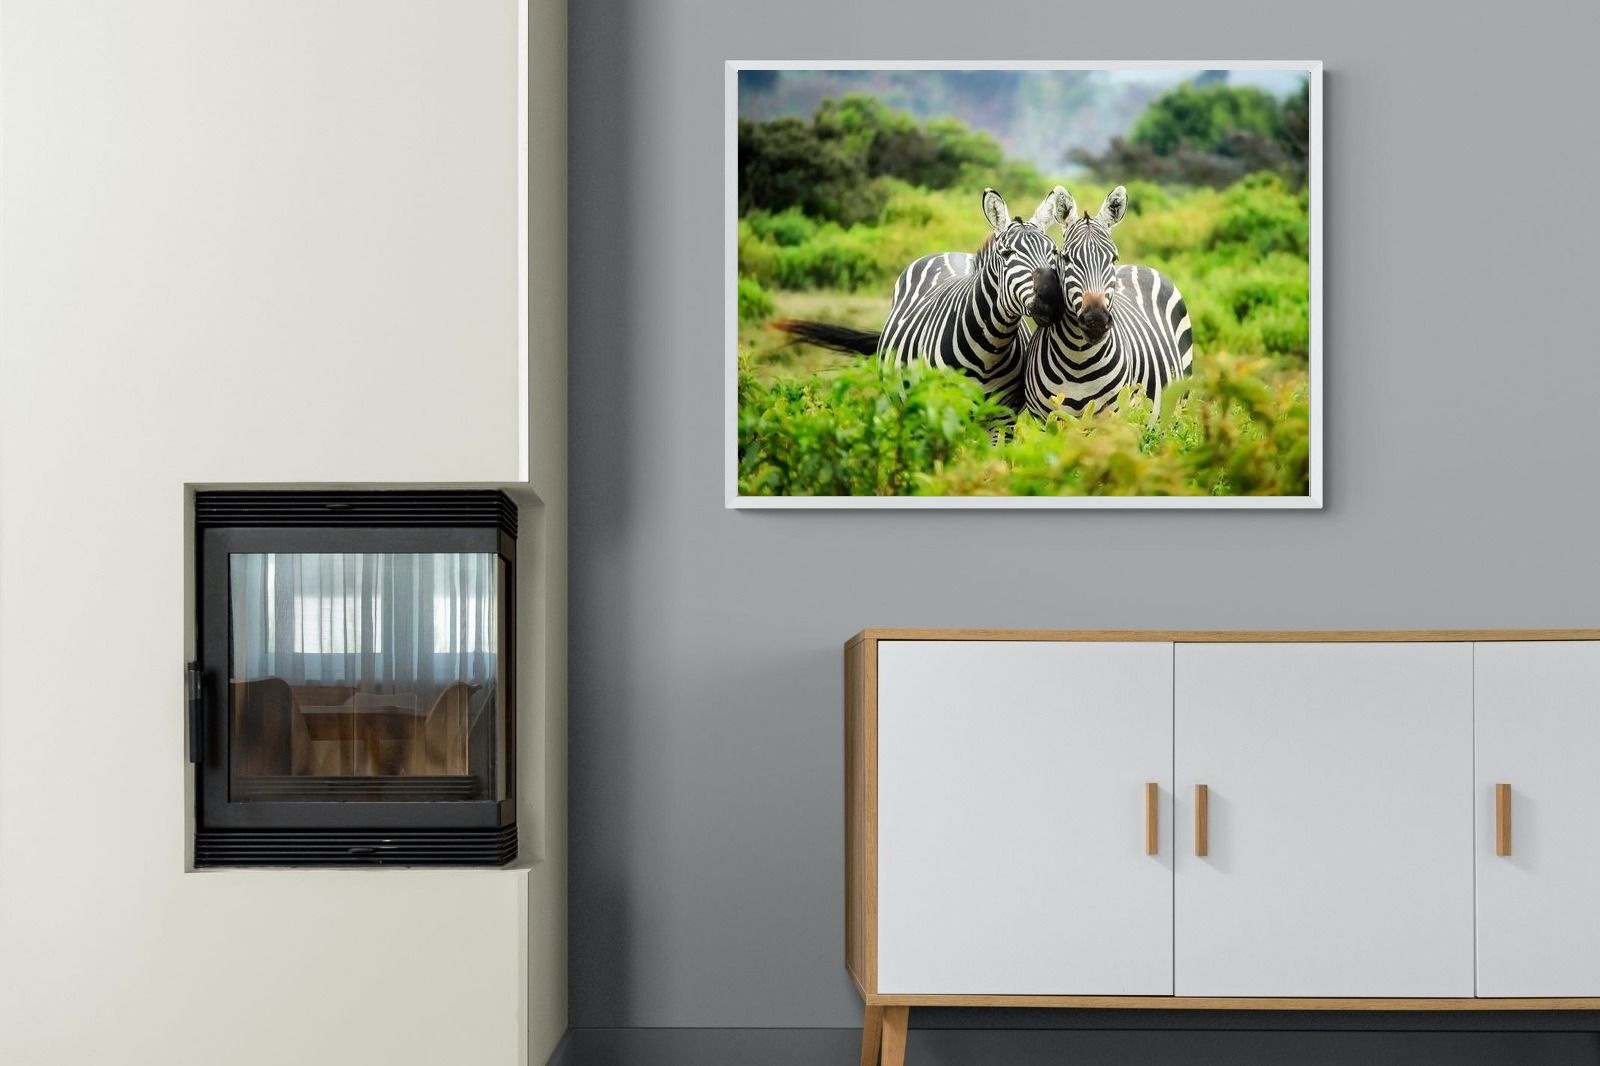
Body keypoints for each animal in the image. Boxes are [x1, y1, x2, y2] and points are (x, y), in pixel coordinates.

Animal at [773, 188, 1067, 412]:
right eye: (1006, 254)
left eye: (1053, 252)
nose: (1052, 300)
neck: (990, 348)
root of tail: (948, 252)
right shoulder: (943, 408)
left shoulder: (1001, 416)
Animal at [1022, 185, 1194, 420]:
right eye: (1066, 258)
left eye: (1113, 258)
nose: (1096, 321)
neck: (1078, 361)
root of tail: (1139, 266)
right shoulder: (1044, 419)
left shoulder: (1111, 418)